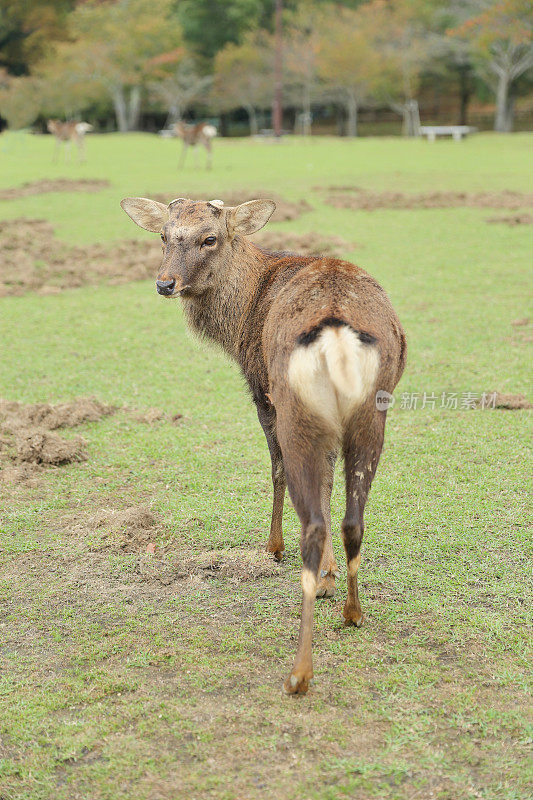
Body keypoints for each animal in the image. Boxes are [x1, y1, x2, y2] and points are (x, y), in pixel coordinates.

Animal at [120, 195, 408, 692]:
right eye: (163, 235)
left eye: (209, 238)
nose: (165, 283)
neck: (239, 321)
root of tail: (336, 330)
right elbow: (329, 485)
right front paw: (331, 576)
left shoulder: (260, 389)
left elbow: (274, 470)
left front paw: (274, 548)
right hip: (373, 409)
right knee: (353, 518)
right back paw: (353, 613)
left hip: (295, 405)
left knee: (310, 515)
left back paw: (299, 672)